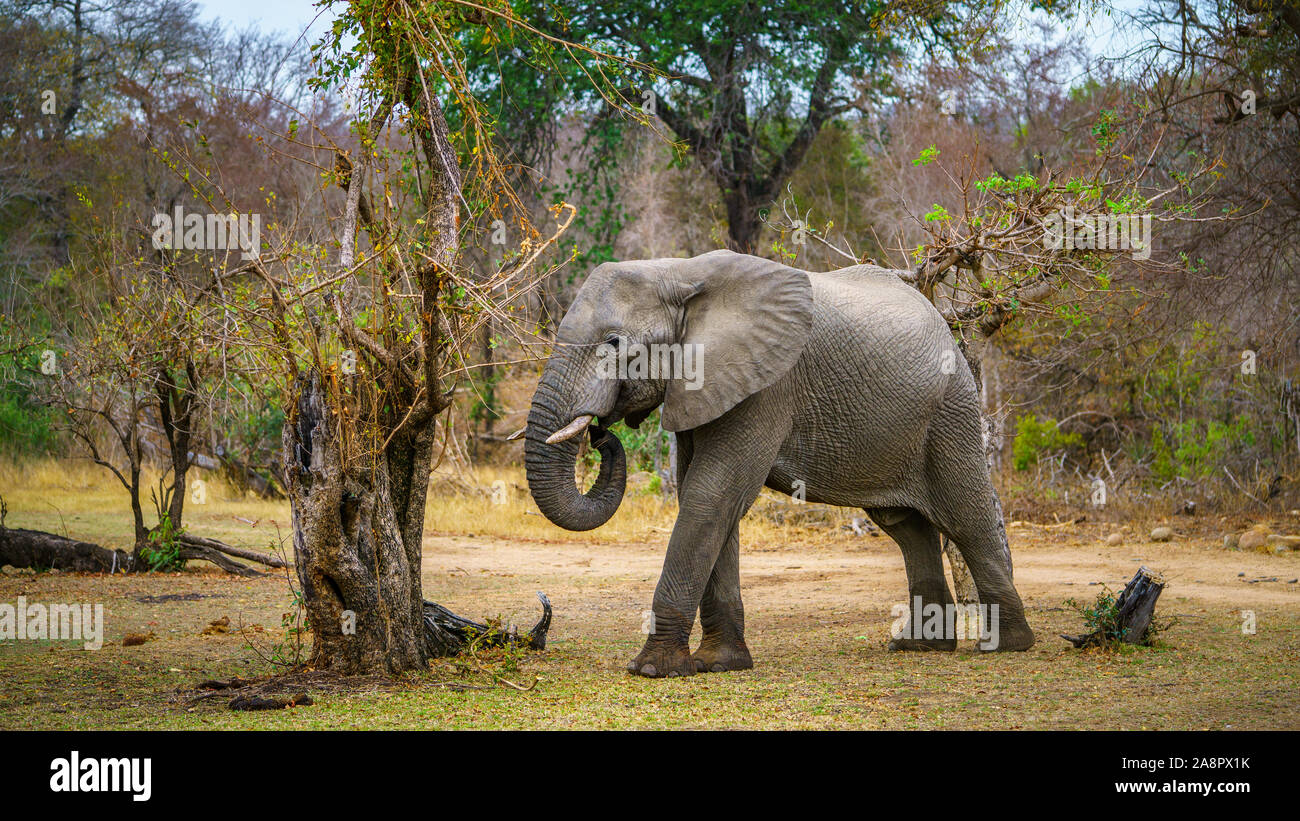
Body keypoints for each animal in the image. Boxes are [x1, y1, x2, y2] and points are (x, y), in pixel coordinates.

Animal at [520, 250, 1034, 680]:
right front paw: (719, 664)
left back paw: (1008, 645)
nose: (600, 433)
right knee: (905, 526)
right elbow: (705, 498)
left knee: (967, 516)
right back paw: (919, 647)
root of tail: (938, 314)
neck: (678, 273)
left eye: (613, 342)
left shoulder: (767, 385)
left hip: (950, 408)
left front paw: (652, 669)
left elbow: (712, 494)